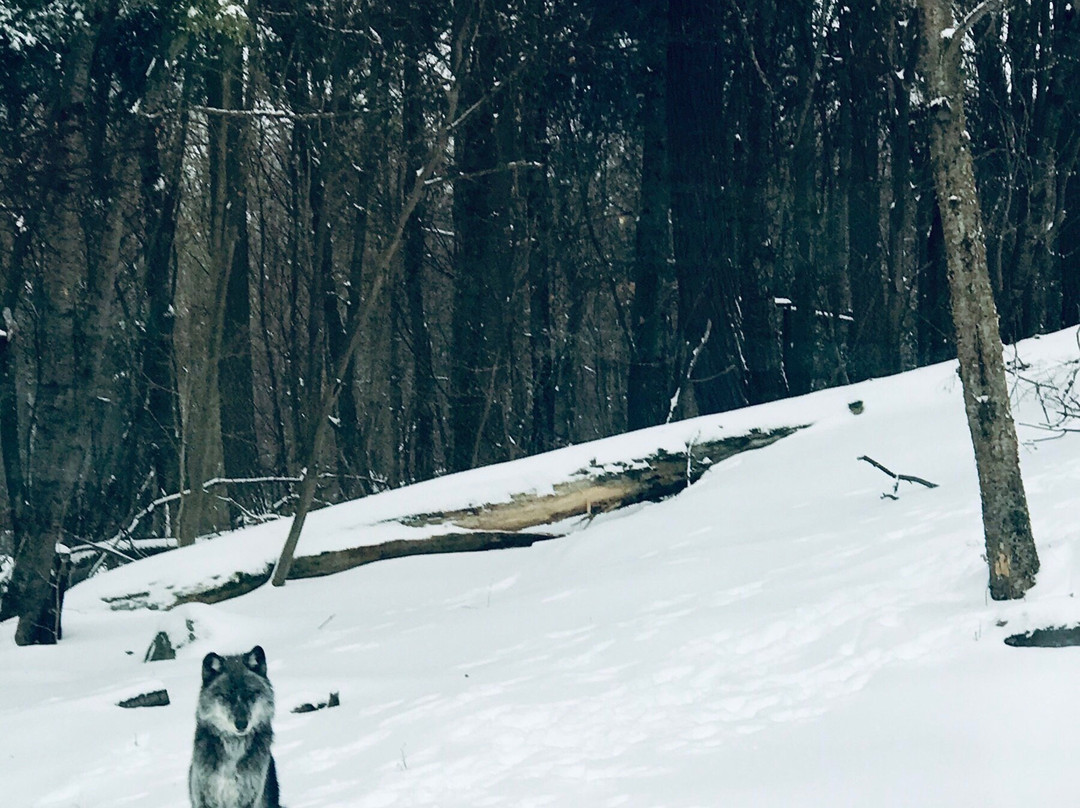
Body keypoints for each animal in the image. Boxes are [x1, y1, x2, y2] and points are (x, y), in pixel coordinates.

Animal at [190, 643, 282, 808]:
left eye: (249, 695)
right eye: (227, 696)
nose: (241, 724)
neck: (233, 745)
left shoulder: (249, 799)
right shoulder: (203, 798)